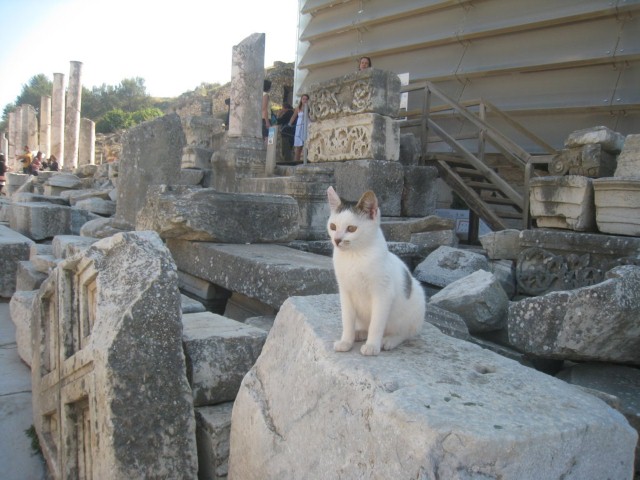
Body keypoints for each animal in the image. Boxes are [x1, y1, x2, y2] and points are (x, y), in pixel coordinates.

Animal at [328, 188, 428, 356]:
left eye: (351, 228)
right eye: (333, 226)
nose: (337, 240)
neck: (355, 256)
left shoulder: (383, 293)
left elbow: (376, 323)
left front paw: (372, 345)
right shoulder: (345, 291)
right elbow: (347, 320)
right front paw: (346, 341)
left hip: (416, 305)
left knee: (405, 333)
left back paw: (389, 340)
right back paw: (360, 332)